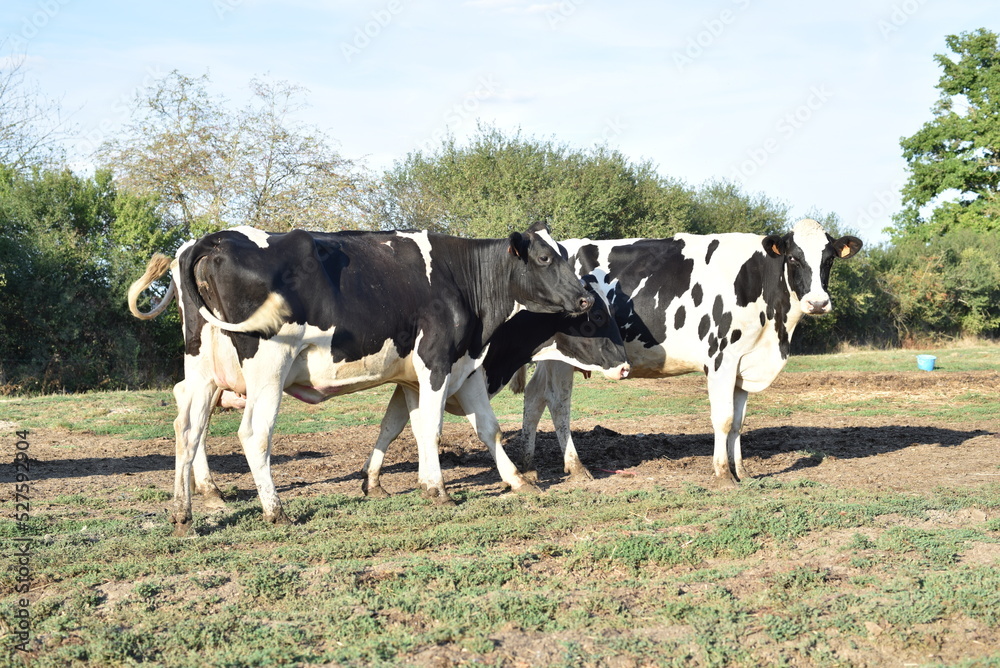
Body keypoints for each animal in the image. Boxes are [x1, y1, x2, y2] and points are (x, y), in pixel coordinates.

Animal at [360, 284, 624, 498]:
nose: (624, 367)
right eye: (598, 315)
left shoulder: (411, 383)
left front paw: (377, 479)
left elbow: (394, 426)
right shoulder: (463, 378)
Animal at [520, 219, 864, 486]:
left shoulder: (743, 362)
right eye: (793, 259)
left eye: (829, 260)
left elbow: (738, 423)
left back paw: (528, 465)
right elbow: (723, 419)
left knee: (535, 396)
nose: (818, 302)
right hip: (562, 358)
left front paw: (742, 471)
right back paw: (576, 467)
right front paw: (723, 474)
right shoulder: (722, 358)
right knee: (558, 403)